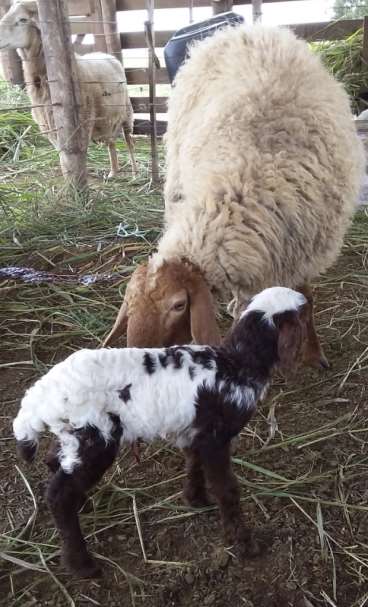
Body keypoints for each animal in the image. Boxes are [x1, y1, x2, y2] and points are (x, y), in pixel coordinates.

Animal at [0, 0, 137, 178]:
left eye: (23, 19)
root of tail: (108, 55)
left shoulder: (83, 124)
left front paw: (77, 183)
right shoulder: (50, 127)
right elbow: (63, 160)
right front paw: (69, 181)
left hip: (126, 111)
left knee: (129, 141)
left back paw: (134, 171)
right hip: (107, 116)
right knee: (111, 141)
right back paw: (113, 171)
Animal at [103, 25, 366, 360]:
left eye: (178, 305)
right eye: (130, 302)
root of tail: (241, 30)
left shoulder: (305, 252)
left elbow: (306, 300)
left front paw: (313, 354)